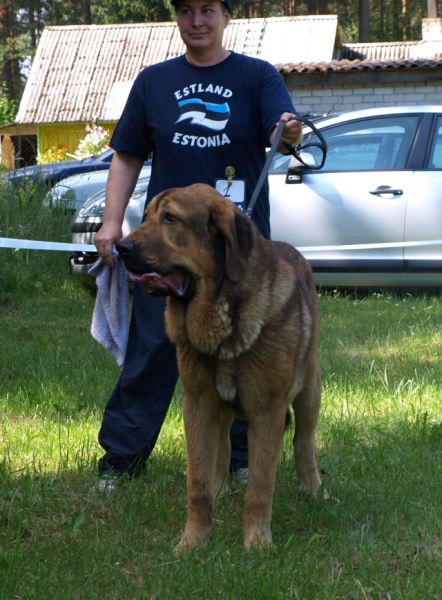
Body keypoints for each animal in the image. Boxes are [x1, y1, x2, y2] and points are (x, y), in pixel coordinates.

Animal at [116, 184, 324, 552]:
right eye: (147, 216)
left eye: (170, 218)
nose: (121, 247)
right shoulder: (198, 404)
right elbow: (197, 484)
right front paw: (193, 541)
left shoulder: (267, 412)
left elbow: (260, 487)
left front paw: (257, 544)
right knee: (222, 449)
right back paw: (221, 490)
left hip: (309, 390)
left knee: (304, 442)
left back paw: (312, 490)